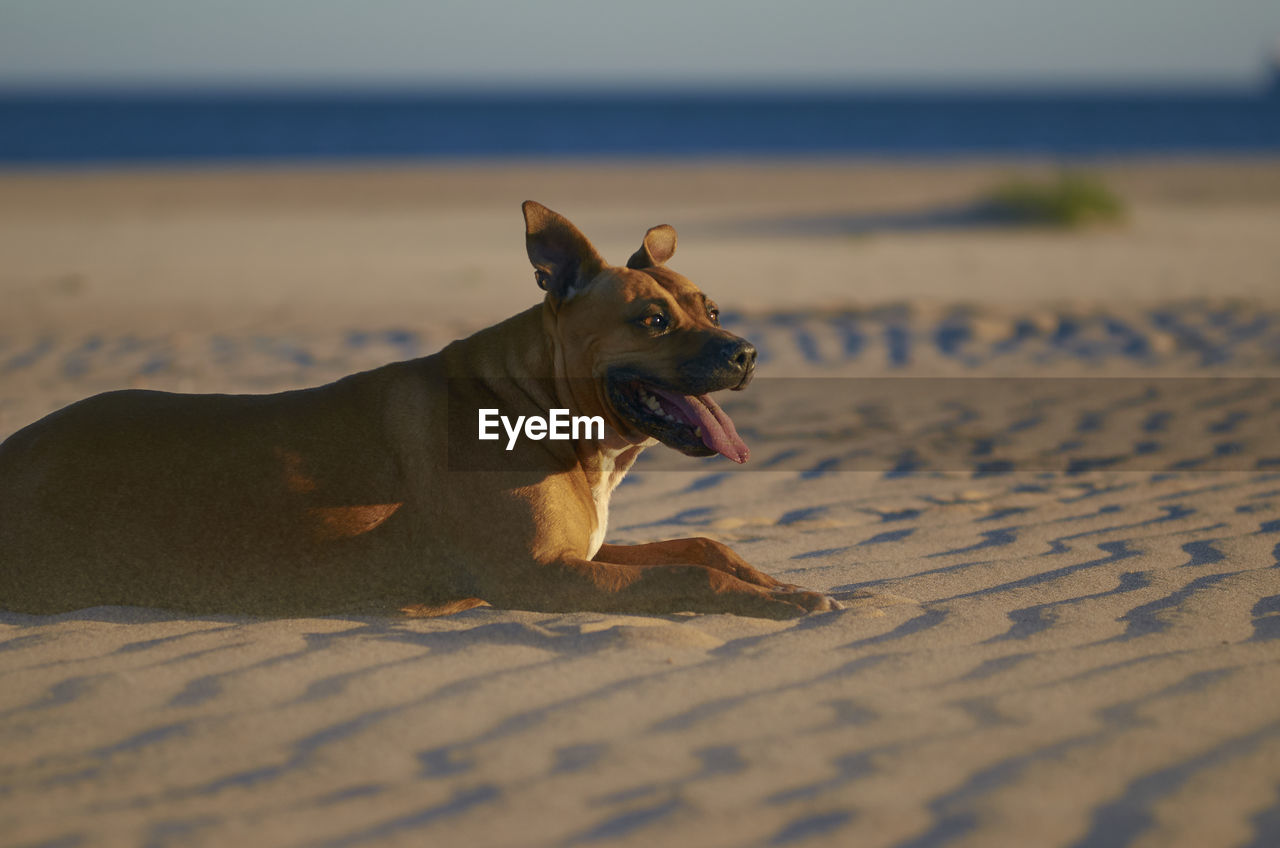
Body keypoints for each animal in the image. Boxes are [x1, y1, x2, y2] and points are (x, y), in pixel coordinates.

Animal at [0, 202, 839, 622]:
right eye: (653, 321)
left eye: (712, 309)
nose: (747, 353)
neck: (534, 400)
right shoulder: (544, 578)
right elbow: (692, 578)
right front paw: (780, 602)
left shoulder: (584, 555)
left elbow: (704, 546)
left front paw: (787, 586)